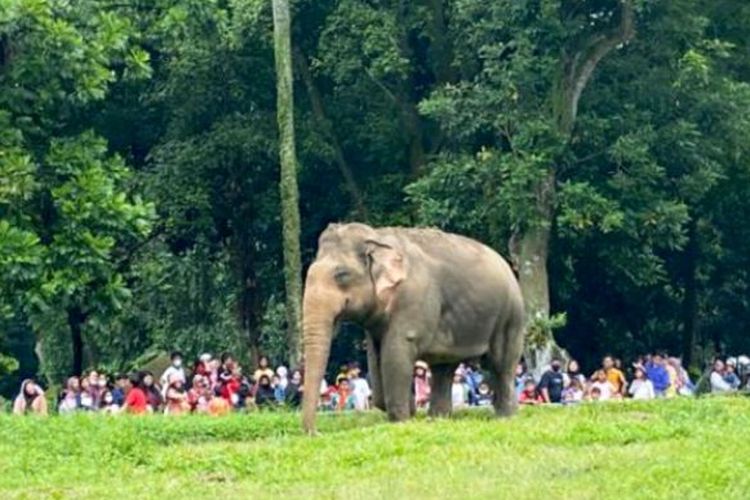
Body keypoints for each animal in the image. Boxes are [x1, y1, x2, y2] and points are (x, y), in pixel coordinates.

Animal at [302, 223, 524, 434]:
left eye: (342, 275)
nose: (315, 433)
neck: (376, 237)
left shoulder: (412, 298)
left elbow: (396, 353)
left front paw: (402, 420)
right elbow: (375, 356)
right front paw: (410, 411)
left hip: (510, 317)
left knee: (501, 365)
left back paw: (505, 417)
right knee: (444, 368)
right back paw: (438, 419)